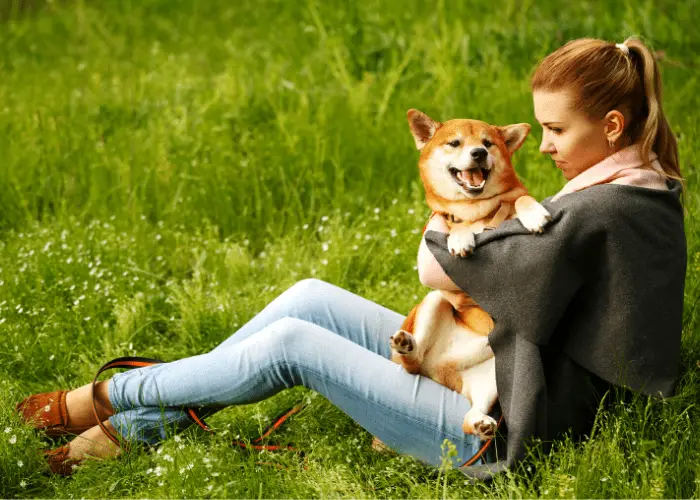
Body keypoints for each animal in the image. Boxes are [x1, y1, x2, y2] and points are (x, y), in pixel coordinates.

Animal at [392, 107, 548, 440]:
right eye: (455, 143)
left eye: (488, 143)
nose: (478, 153)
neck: (478, 212)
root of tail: (442, 369)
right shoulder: (446, 221)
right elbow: (455, 224)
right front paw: (460, 237)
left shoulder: (512, 200)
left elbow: (519, 197)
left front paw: (533, 214)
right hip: (434, 301)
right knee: (413, 362)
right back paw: (407, 346)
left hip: (491, 382)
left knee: (470, 414)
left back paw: (480, 423)